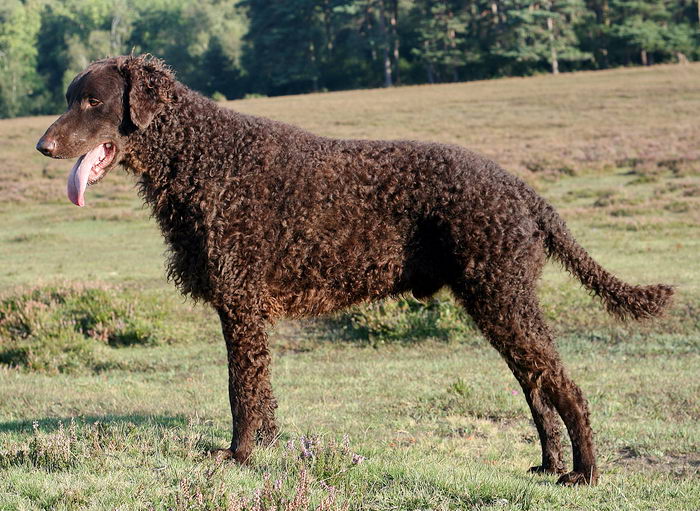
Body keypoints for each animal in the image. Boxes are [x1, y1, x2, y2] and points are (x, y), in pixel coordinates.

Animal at [37, 54, 672, 486]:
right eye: (70, 96)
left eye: (91, 101)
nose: (43, 145)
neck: (205, 157)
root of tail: (524, 192)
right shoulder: (248, 310)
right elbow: (261, 391)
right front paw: (266, 447)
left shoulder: (240, 303)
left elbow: (241, 390)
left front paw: (239, 456)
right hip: (498, 301)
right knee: (538, 386)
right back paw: (548, 465)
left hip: (503, 298)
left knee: (566, 387)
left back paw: (583, 473)